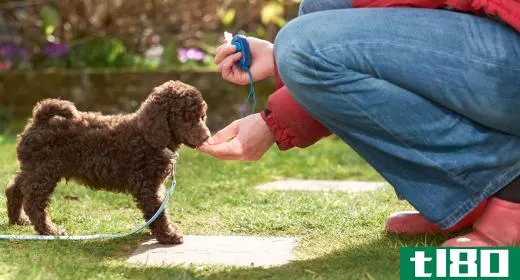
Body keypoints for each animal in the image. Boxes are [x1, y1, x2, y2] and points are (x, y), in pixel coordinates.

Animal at [4, 80, 210, 244]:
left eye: (202, 116)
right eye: (185, 117)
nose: (207, 137)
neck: (147, 136)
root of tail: (39, 120)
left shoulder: (154, 186)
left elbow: (159, 210)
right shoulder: (147, 185)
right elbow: (157, 211)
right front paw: (169, 235)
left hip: (34, 168)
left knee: (14, 188)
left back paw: (17, 219)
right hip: (44, 171)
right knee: (34, 202)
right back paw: (49, 231)